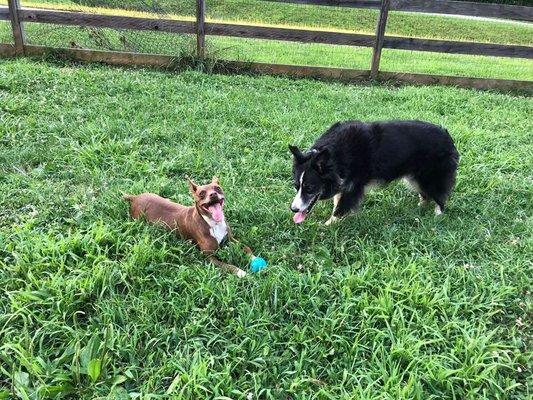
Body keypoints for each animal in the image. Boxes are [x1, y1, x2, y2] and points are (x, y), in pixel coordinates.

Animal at [288, 119, 460, 225]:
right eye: (296, 186)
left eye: (310, 188)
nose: (293, 209)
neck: (333, 155)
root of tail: (447, 136)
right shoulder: (342, 180)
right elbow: (338, 200)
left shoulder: (355, 184)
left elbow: (341, 206)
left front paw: (328, 225)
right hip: (415, 177)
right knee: (425, 194)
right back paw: (420, 207)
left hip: (431, 175)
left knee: (439, 194)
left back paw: (438, 214)